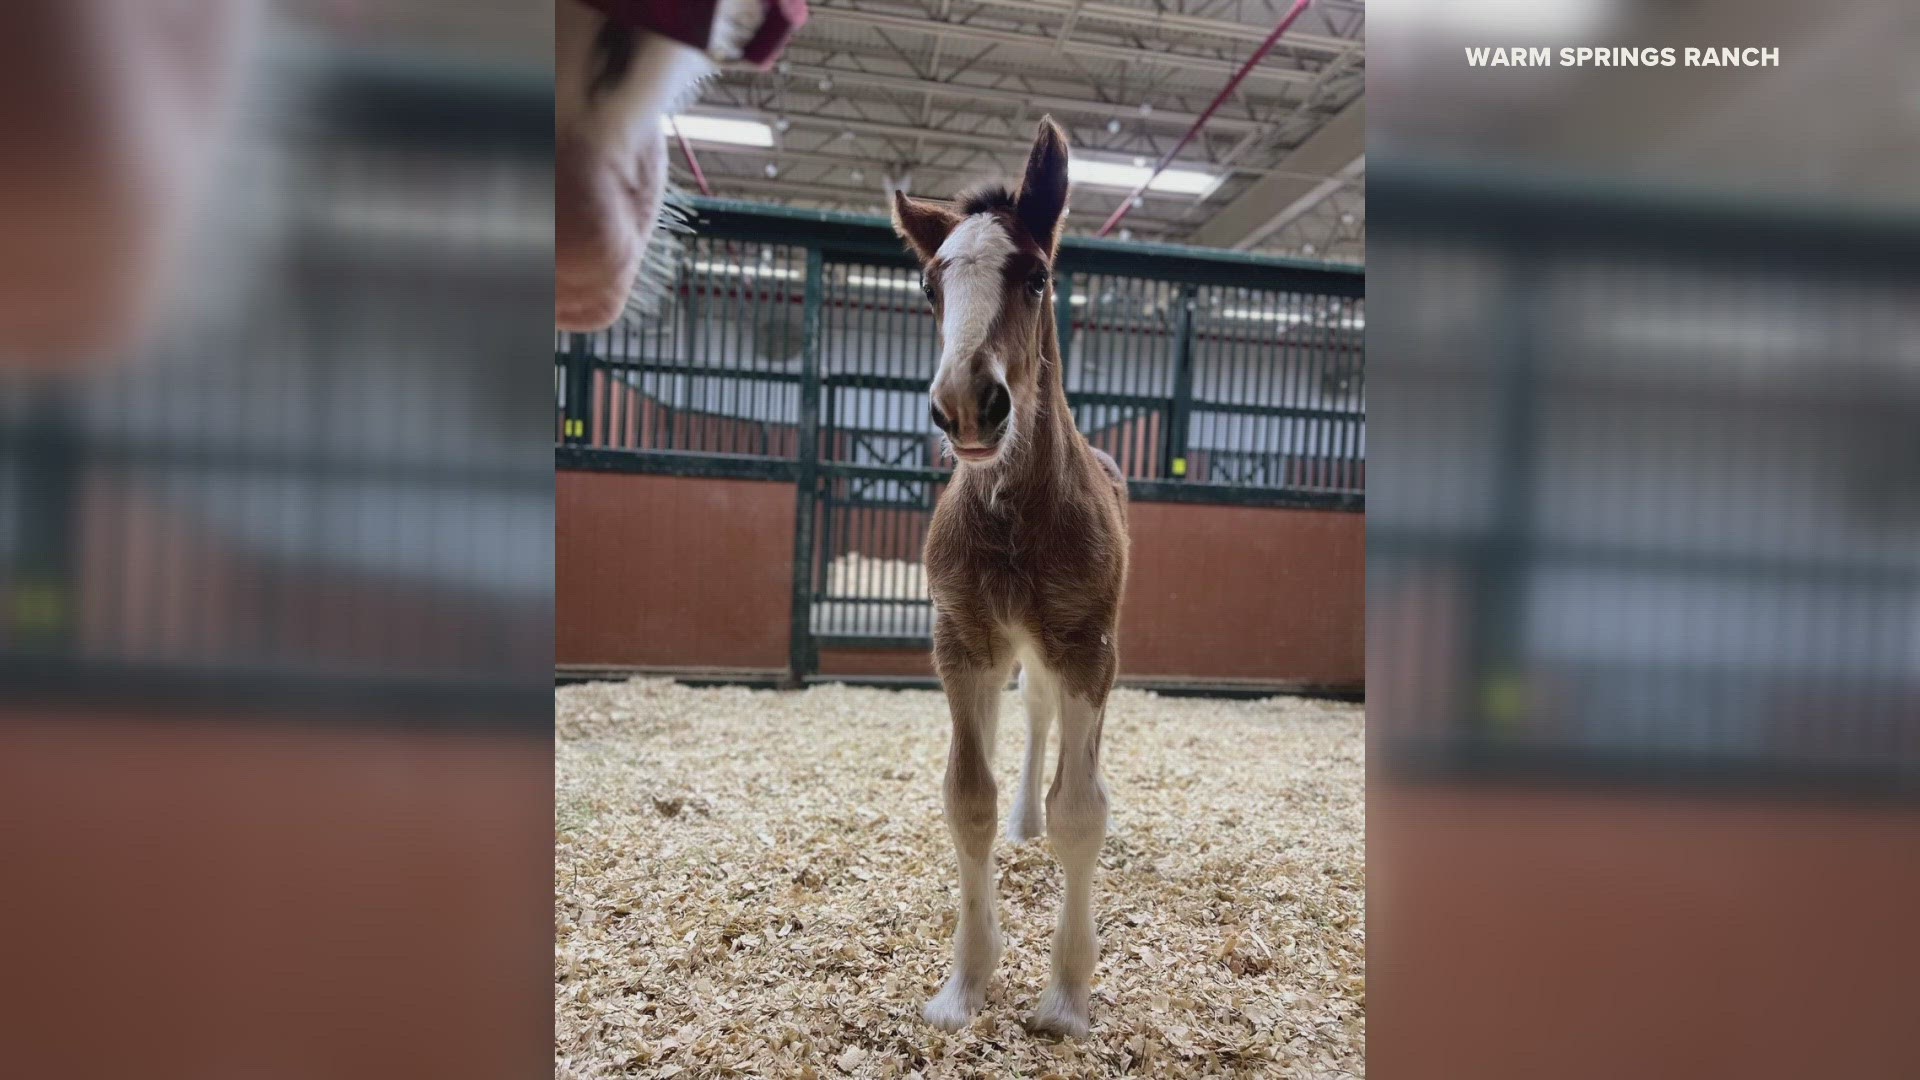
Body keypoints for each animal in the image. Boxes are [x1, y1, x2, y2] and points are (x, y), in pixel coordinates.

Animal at [890, 117, 1128, 1037]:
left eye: (1037, 277)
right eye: (929, 285)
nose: (966, 403)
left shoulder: (1089, 646)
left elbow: (1082, 811)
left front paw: (1065, 997)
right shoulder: (963, 644)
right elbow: (969, 800)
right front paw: (964, 985)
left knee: (1060, 732)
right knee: (1034, 720)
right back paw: (1025, 820)